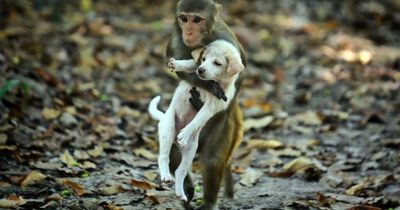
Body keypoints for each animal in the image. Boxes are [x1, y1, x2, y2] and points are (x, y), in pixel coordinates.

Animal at [148, 39, 244, 202]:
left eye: (217, 63)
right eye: (203, 59)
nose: (201, 70)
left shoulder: (209, 108)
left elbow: (196, 122)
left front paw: (185, 134)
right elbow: (191, 63)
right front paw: (177, 64)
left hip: (190, 150)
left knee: (179, 171)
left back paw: (180, 193)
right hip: (168, 130)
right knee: (163, 157)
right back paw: (167, 176)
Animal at [163, 0, 247, 208]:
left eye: (197, 19)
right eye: (184, 19)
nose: (188, 32)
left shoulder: (227, 40)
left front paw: (212, 88)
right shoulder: (177, 40)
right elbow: (187, 67)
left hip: (224, 126)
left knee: (212, 160)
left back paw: (207, 202)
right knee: (173, 154)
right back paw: (185, 187)